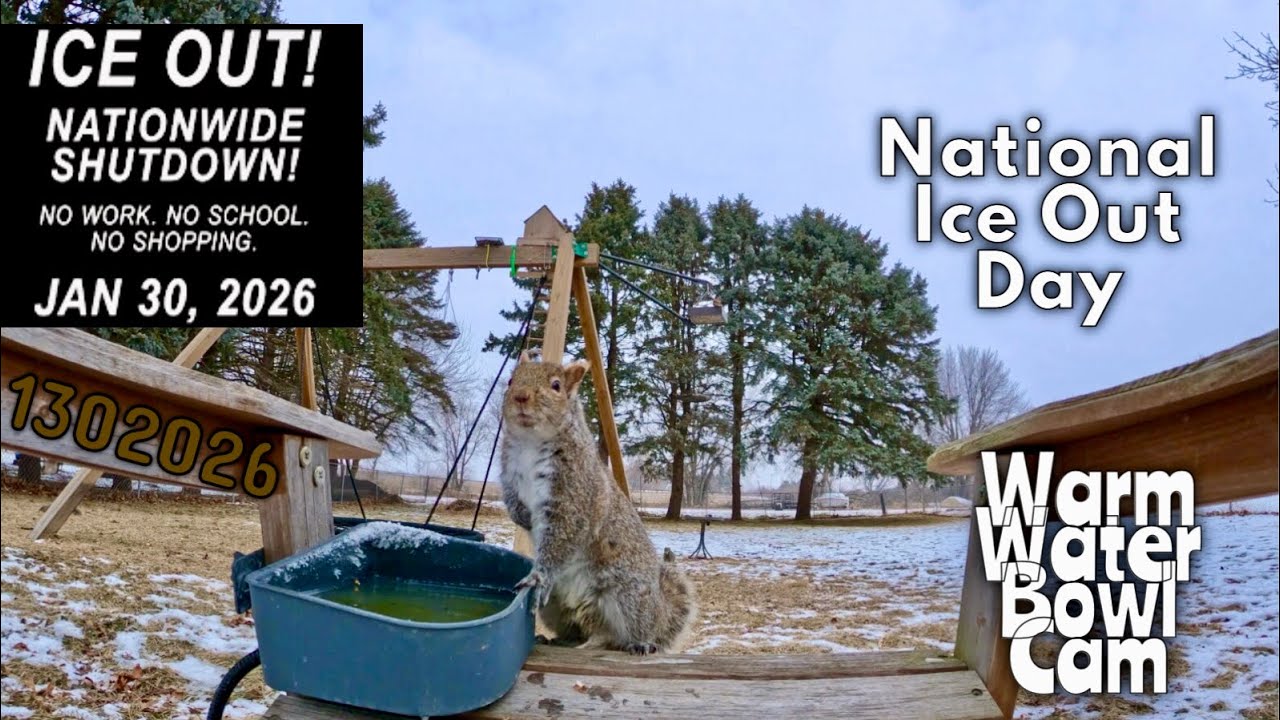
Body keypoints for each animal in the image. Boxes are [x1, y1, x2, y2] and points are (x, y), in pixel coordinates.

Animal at [499, 351, 697, 655]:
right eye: (511, 380)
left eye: (556, 386)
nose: (520, 396)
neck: (531, 442)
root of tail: (660, 612)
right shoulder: (509, 473)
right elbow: (512, 499)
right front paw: (521, 515)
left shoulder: (574, 495)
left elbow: (563, 535)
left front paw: (538, 577)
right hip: (555, 608)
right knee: (582, 630)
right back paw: (559, 639)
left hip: (627, 598)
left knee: (614, 637)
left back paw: (639, 643)